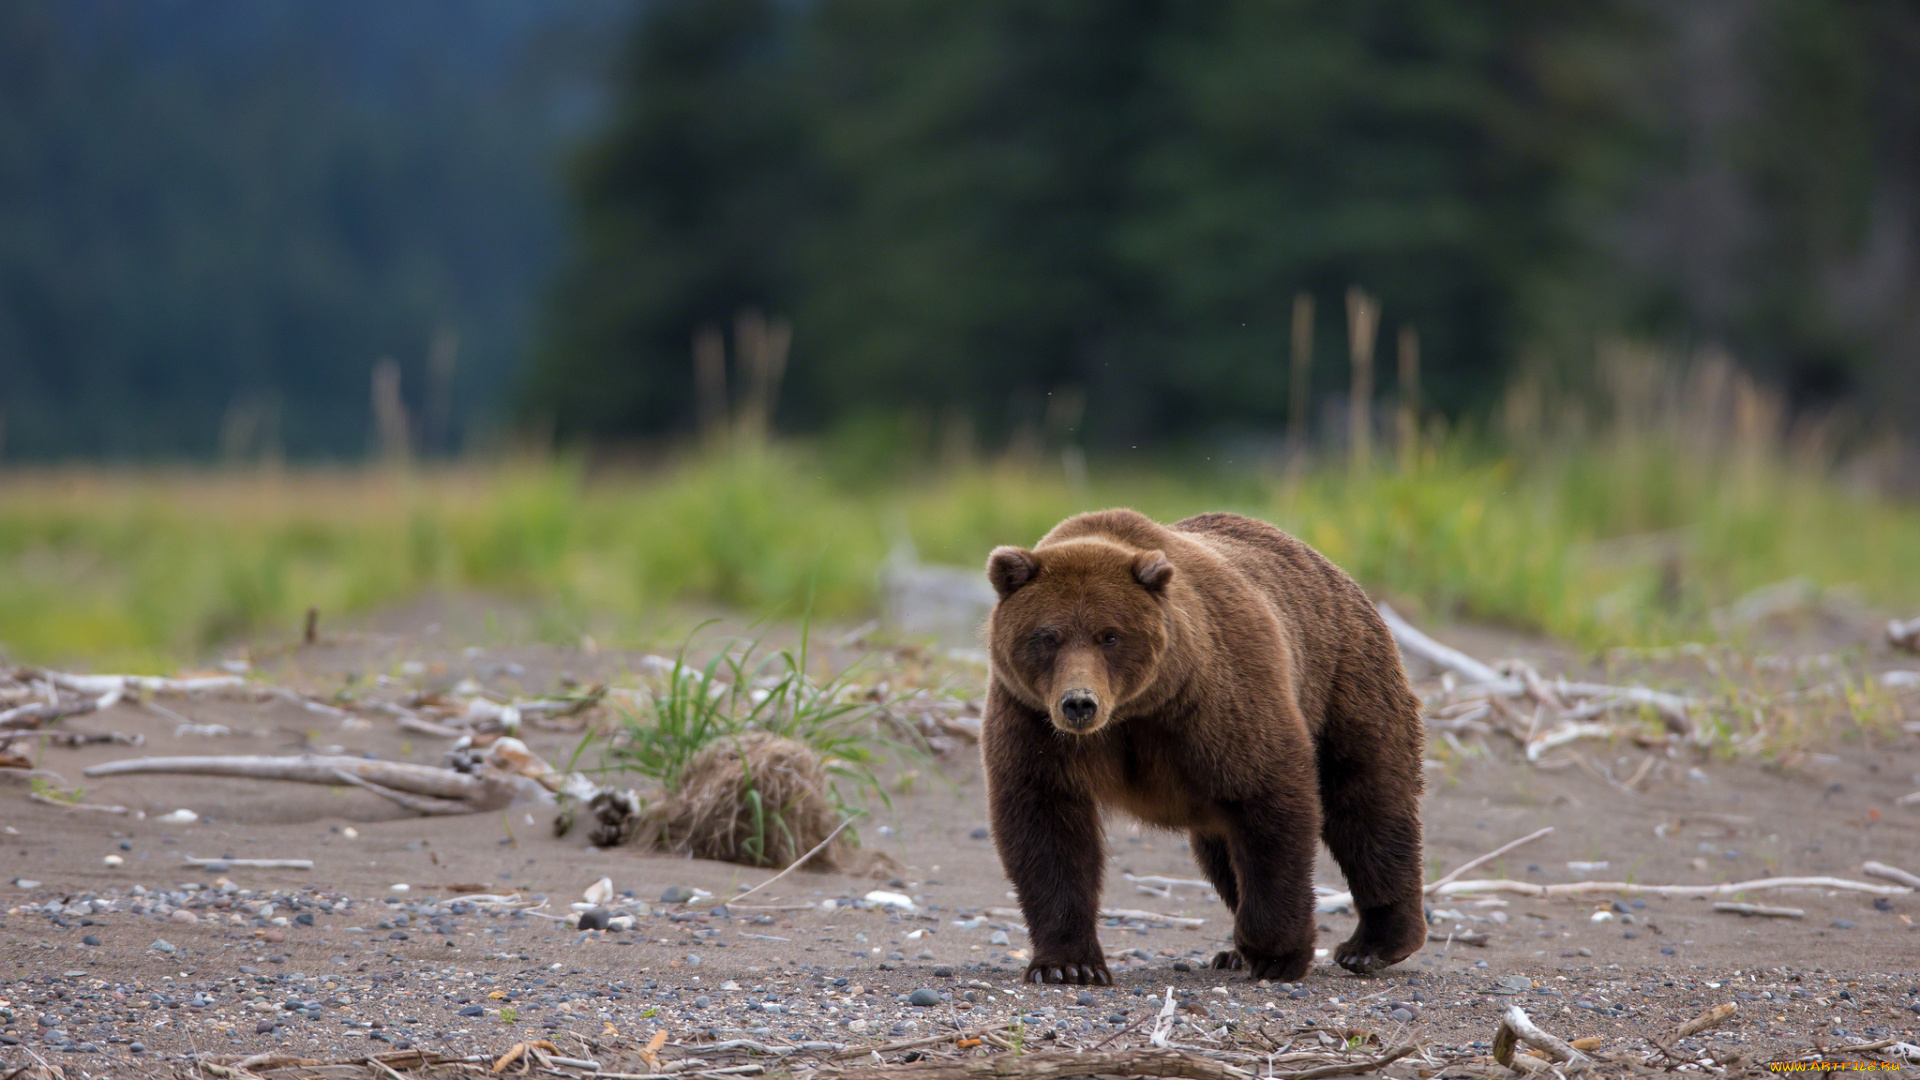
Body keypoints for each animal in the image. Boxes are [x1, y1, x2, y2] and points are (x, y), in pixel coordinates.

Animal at [990, 507, 1428, 980]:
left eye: (1109, 635)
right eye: (1047, 636)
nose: (1079, 703)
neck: (1134, 711)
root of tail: (1336, 572)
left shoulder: (1216, 701)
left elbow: (1271, 800)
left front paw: (1277, 953)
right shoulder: (1033, 720)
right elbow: (1046, 826)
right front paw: (1068, 965)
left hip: (1344, 678)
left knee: (1368, 805)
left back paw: (1372, 944)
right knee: (1221, 850)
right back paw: (1234, 953)